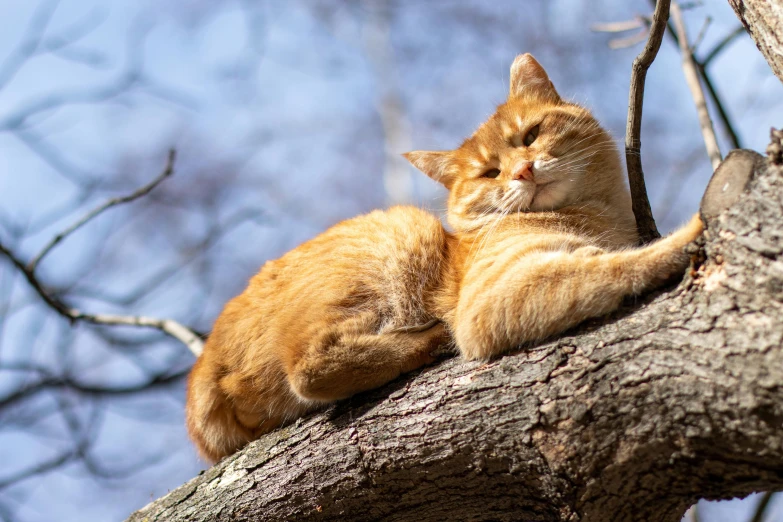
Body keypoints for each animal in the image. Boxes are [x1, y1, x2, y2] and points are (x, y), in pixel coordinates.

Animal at [185, 52, 704, 460]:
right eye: (489, 172)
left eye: (531, 135)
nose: (523, 170)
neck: (598, 212)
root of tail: (203, 369)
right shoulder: (496, 295)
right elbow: (617, 265)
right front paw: (693, 233)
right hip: (403, 229)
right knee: (310, 369)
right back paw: (430, 339)